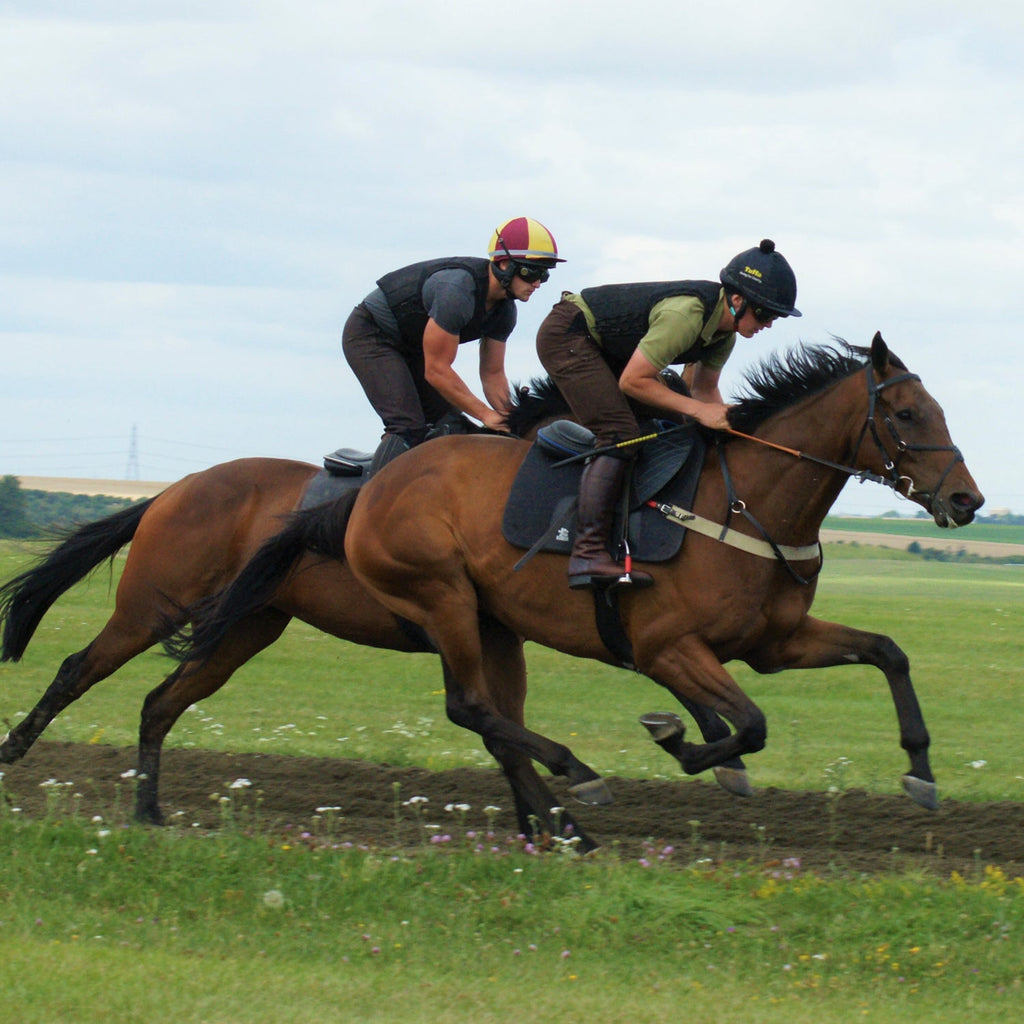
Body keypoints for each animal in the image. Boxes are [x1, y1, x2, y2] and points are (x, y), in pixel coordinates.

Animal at [0, 376, 737, 831]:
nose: (694, 446)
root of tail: (171, 491)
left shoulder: (494, 629)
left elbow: (506, 726)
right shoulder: (458, 623)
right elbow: (496, 723)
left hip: (244, 629)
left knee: (160, 702)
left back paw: (149, 811)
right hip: (152, 605)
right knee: (77, 669)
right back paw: (14, 751)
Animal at [174, 333, 983, 847]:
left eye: (940, 410)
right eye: (906, 414)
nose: (968, 500)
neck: (745, 502)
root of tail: (369, 490)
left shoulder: (774, 643)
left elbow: (888, 652)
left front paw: (920, 773)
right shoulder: (665, 645)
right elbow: (749, 724)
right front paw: (680, 740)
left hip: (488, 621)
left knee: (491, 714)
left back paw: (561, 823)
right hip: (441, 597)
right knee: (471, 707)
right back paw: (580, 782)